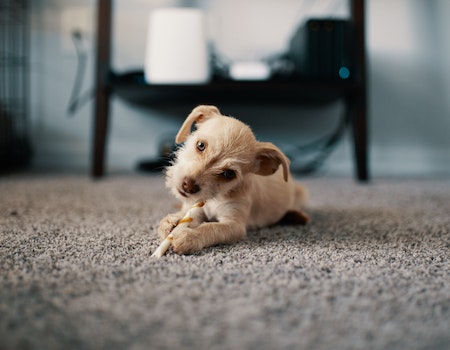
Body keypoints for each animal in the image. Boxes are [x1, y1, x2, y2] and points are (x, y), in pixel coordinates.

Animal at [158, 104, 310, 254]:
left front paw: (188, 236)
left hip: (301, 193)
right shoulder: (195, 209)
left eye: (229, 174)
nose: (188, 186)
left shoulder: (234, 225)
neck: (215, 198)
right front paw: (171, 221)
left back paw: (296, 216)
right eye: (200, 145)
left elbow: (211, 228)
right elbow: (185, 216)